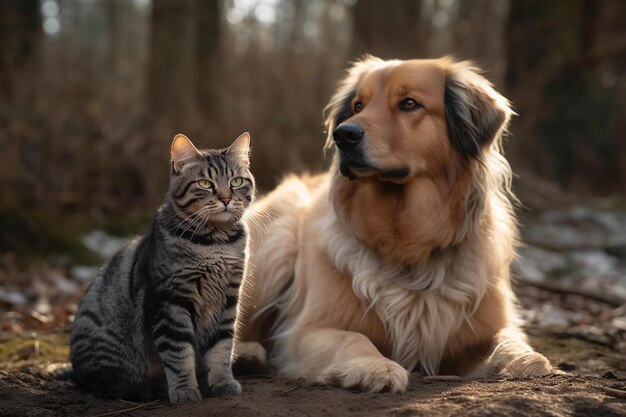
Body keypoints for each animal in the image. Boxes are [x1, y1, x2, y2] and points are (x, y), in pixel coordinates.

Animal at [69, 131, 254, 404]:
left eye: (236, 181)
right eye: (205, 184)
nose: (225, 199)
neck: (215, 243)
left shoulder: (228, 299)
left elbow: (222, 347)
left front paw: (222, 382)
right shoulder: (170, 302)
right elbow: (178, 354)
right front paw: (185, 390)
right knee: (106, 383)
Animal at [234, 54, 552, 390]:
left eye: (409, 103)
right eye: (358, 105)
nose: (343, 135)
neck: (404, 236)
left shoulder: (477, 333)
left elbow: (507, 339)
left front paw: (524, 359)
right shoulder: (305, 331)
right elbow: (353, 338)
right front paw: (375, 367)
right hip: (275, 245)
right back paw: (246, 355)